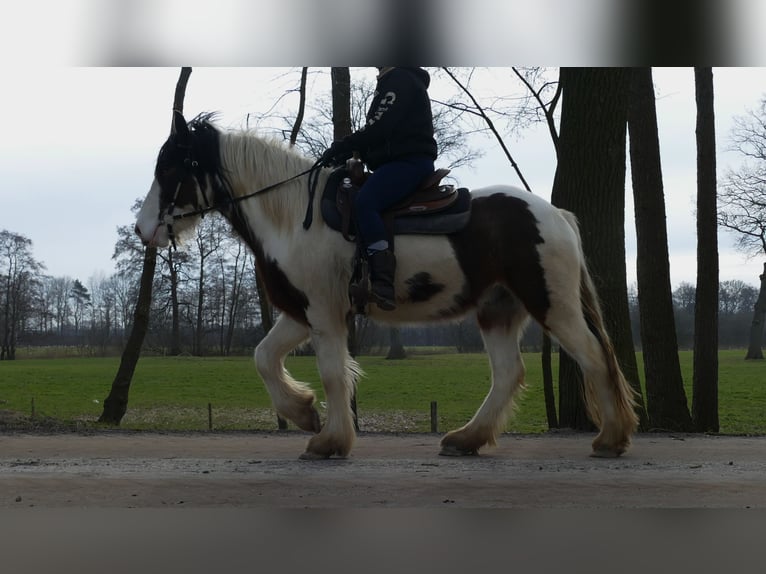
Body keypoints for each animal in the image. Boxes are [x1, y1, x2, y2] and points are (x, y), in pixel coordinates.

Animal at [135, 92, 638, 461]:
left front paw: (329, 440)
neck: (294, 217)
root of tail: (555, 214)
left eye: (171, 167)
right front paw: (303, 412)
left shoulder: (324, 313)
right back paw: (466, 439)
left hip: (551, 302)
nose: (143, 229)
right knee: (508, 373)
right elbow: (263, 357)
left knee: (593, 356)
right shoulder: (301, 313)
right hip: (498, 308)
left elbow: (334, 373)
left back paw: (610, 438)